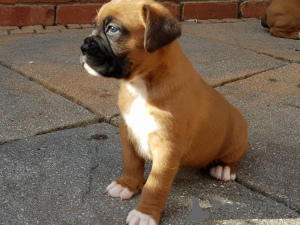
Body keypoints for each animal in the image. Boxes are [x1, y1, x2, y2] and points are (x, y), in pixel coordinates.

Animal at [80, 0, 248, 223]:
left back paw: (223, 168)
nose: (82, 46)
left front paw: (144, 214)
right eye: (94, 25)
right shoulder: (128, 131)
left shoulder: (167, 148)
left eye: (112, 29)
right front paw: (126, 185)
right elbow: (131, 163)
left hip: (237, 137)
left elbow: (155, 186)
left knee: (232, 158)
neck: (141, 86)